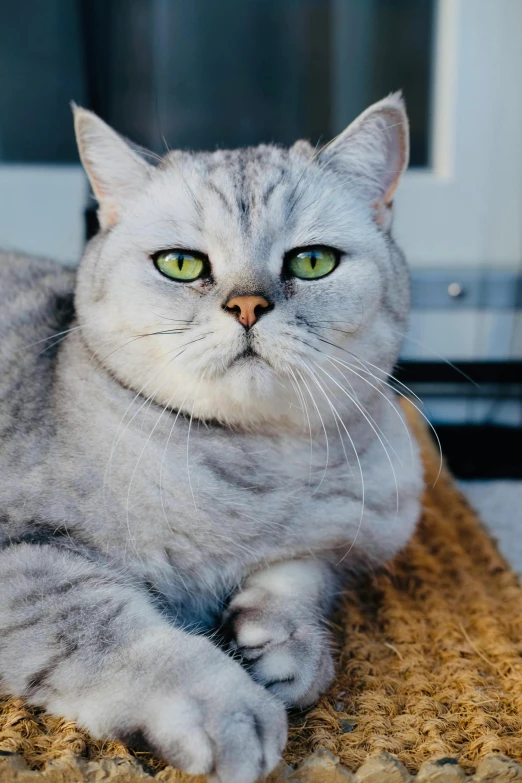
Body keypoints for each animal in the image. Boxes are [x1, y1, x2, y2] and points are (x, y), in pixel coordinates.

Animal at [0, 93, 420, 783]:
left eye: (311, 262)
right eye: (181, 265)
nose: (247, 306)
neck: (252, 473)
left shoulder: (350, 538)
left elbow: (303, 570)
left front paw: (285, 642)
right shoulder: (26, 558)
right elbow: (116, 629)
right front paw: (227, 704)